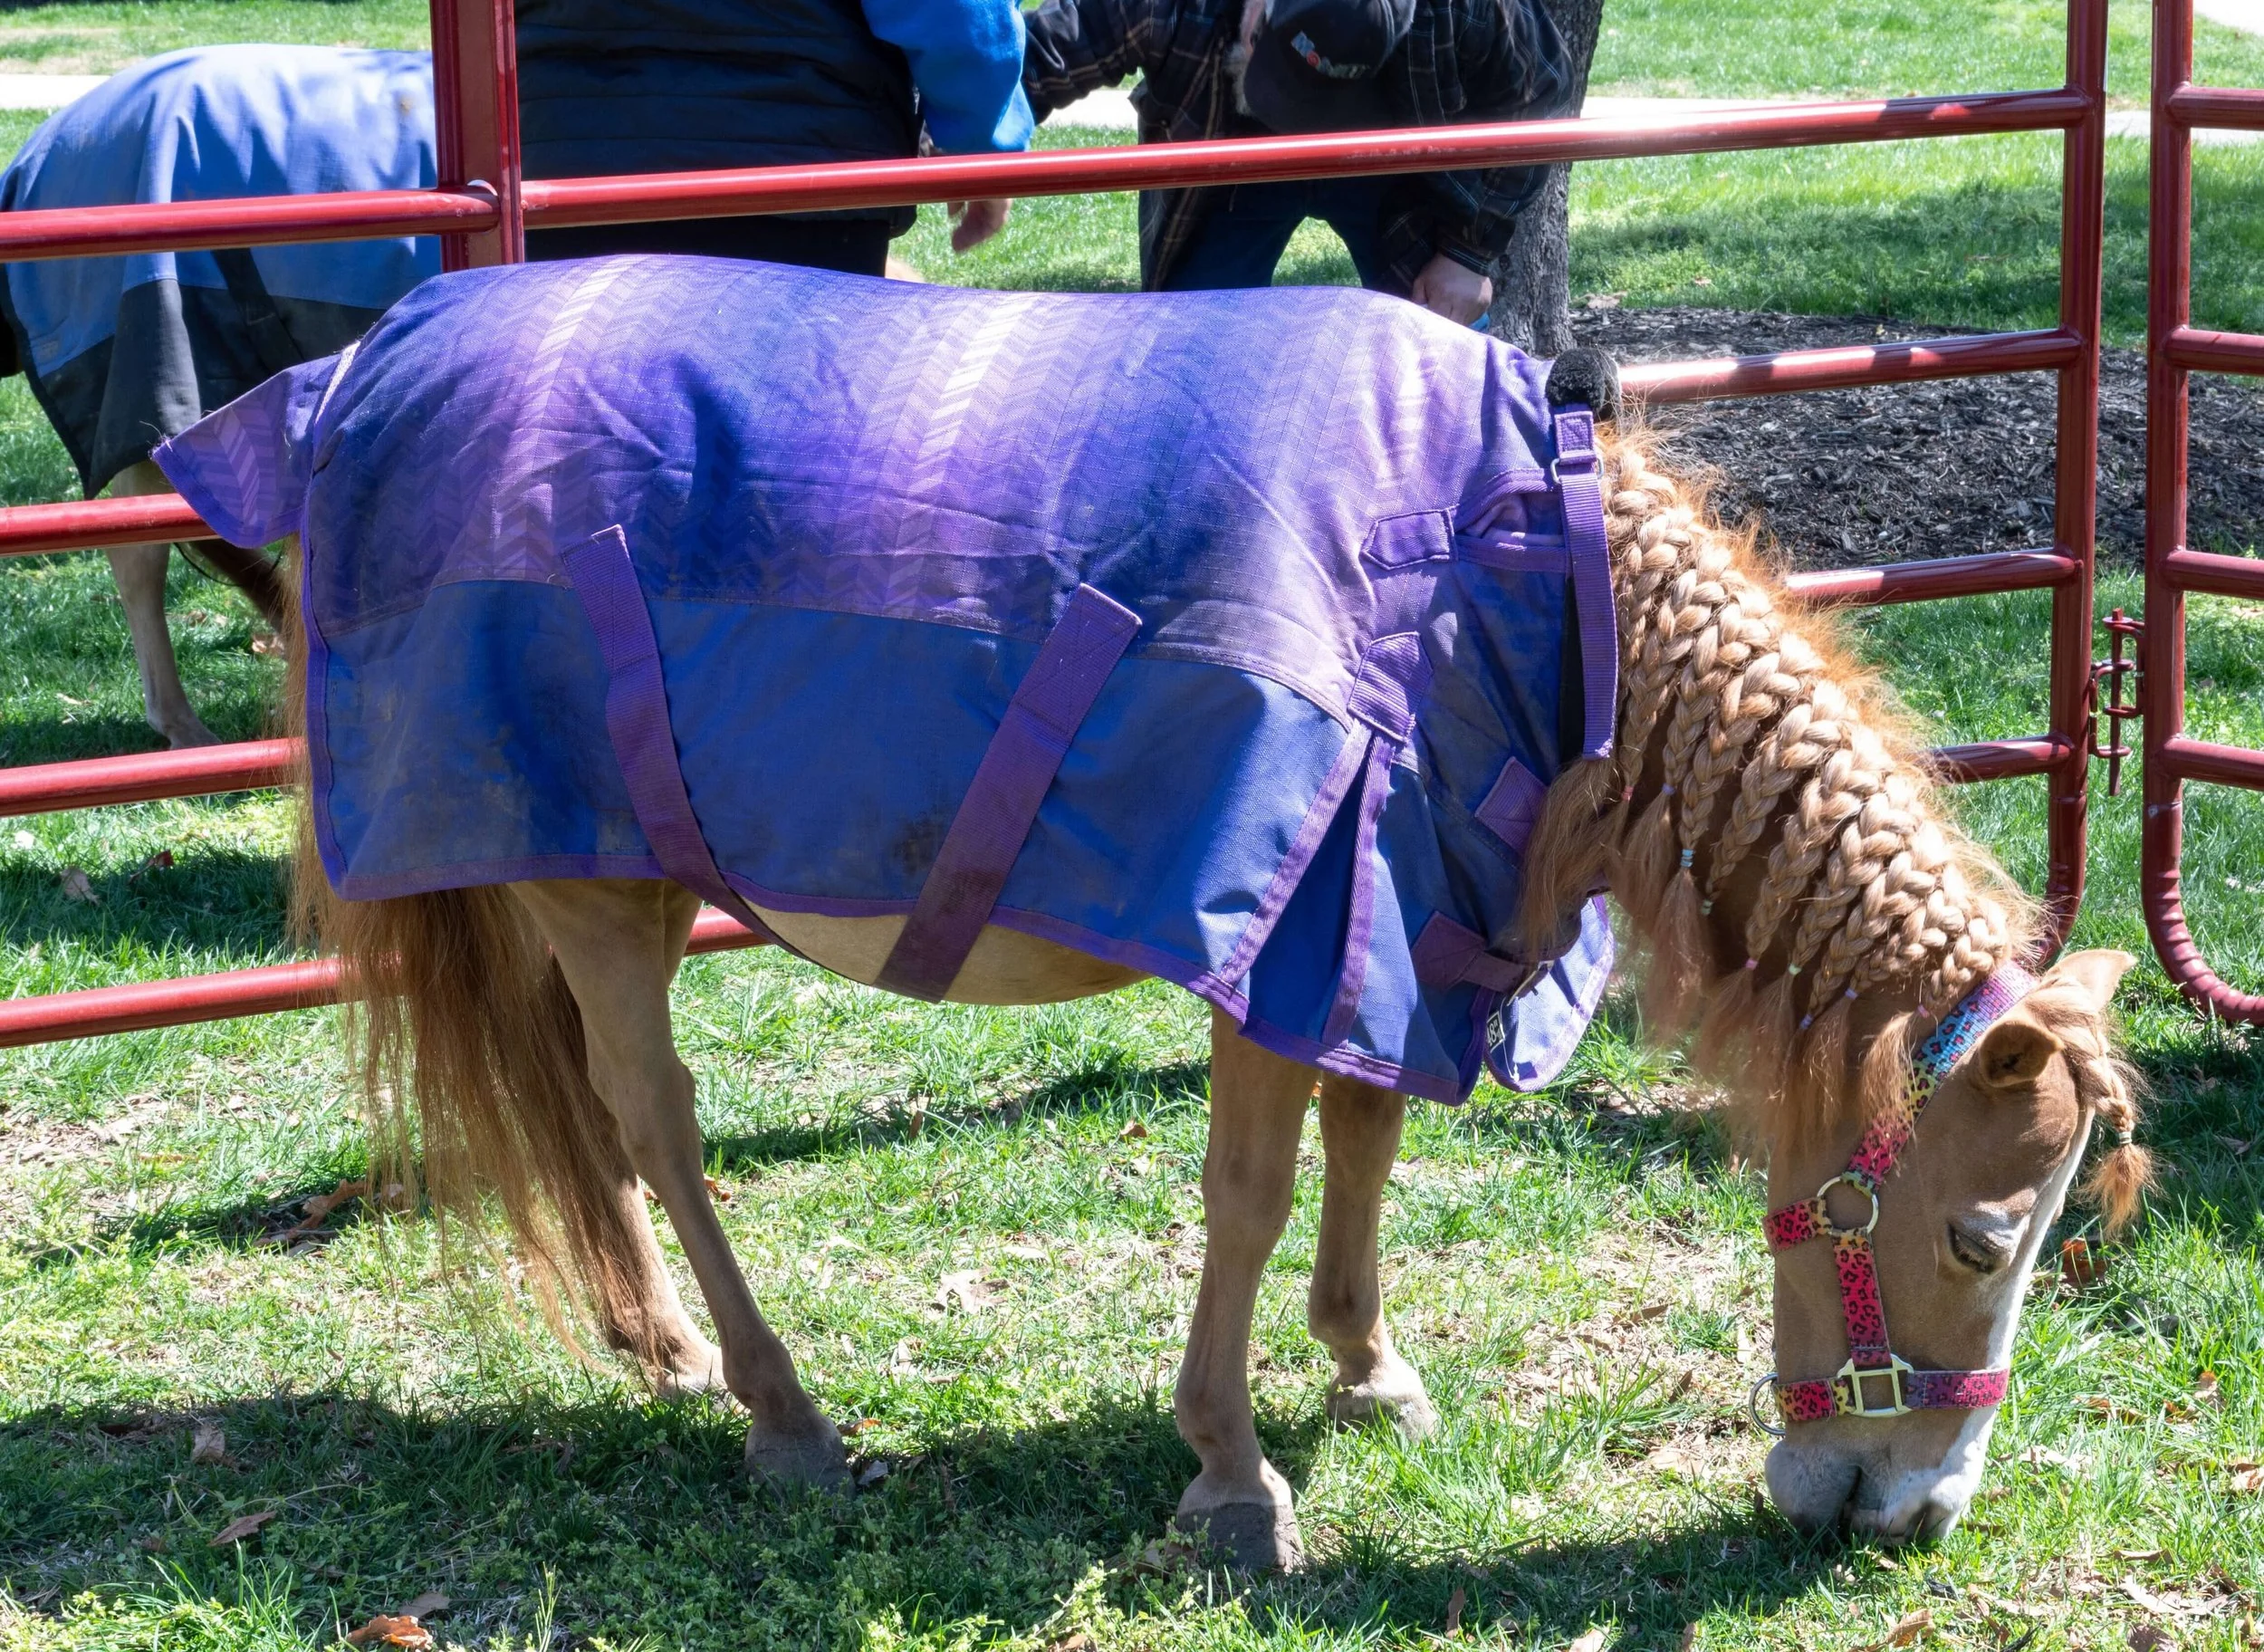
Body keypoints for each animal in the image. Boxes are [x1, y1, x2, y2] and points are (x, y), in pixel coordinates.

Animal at [151, 256, 2149, 1568]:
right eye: (1980, 1234)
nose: (1905, 1517)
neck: (1518, 588)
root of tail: (374, 363)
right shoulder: (1288, 936)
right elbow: (1251, 1193)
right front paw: (1231, 1473)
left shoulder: (1401, 930)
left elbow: (1363, 1145)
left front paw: (1365, 1370)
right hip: (591, 881)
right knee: (650, 1116)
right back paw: (784, 1416)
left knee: (577, 1104)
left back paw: (655, 1339)